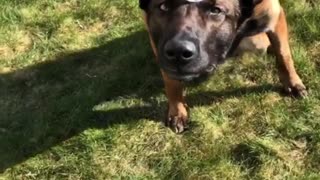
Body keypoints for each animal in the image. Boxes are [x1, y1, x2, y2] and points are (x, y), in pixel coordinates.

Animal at [139, 0, 308, 132]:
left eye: (216, 10)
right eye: (164, 6)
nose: (179, 52)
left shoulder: (273, 14)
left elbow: (284, 54)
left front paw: (293, 84)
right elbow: (171, 81)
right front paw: (177, 110)